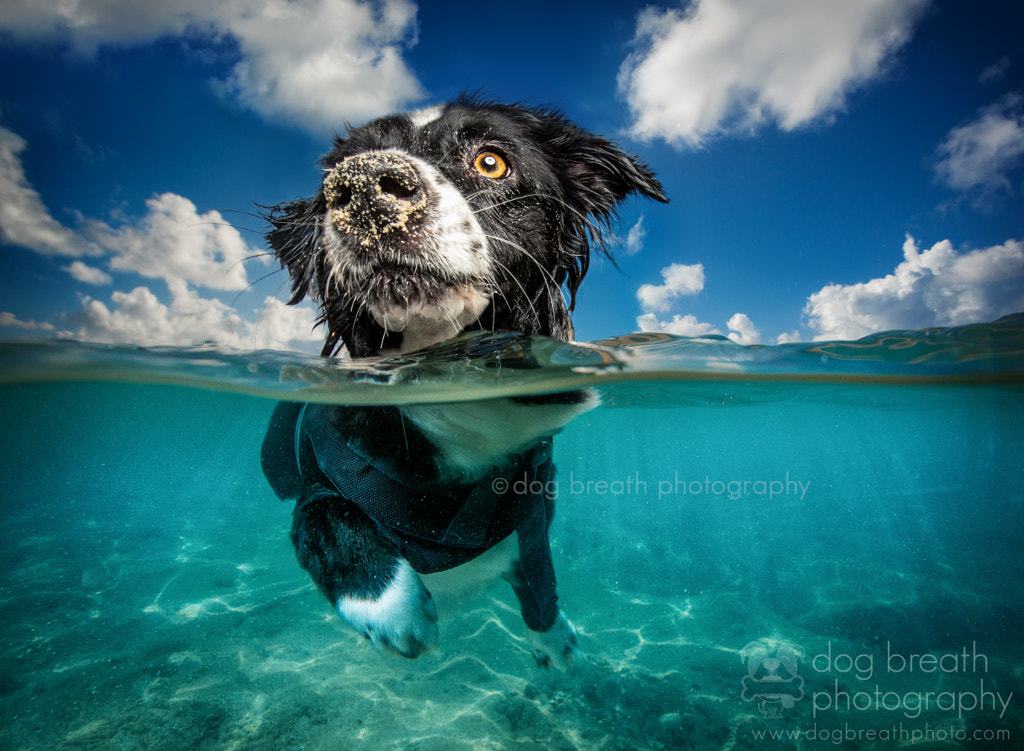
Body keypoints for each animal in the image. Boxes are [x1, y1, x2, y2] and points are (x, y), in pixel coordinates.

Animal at [260, 95, 667, 668]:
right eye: (330, 187)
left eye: (490, 161)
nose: (361, 186)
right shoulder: (321, 477)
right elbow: (326, 518)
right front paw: (393, 609)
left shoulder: (532, 509)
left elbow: (540, 573)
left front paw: (554, 637)